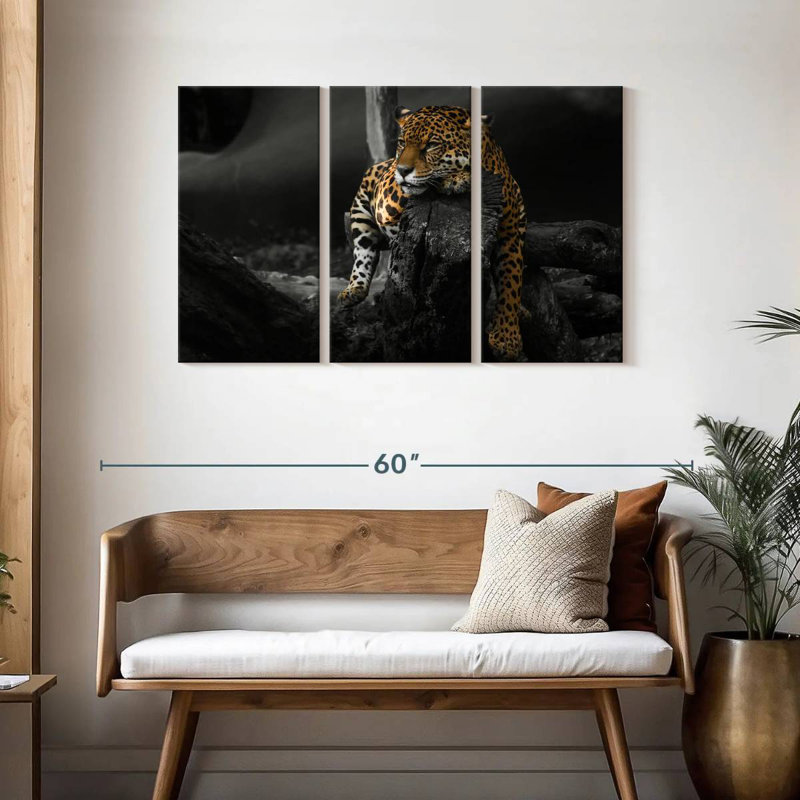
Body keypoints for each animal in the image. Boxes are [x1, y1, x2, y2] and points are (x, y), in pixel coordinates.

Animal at [338, 104, 527, 361]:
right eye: (401, 143)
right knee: (363, 250)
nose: (402, 170)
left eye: (431, 145)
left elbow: (511, 280)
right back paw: (354, 290)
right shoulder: (388, 193)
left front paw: (507, 338)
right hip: (363, 206)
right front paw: (456, 178)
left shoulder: (509, 234)